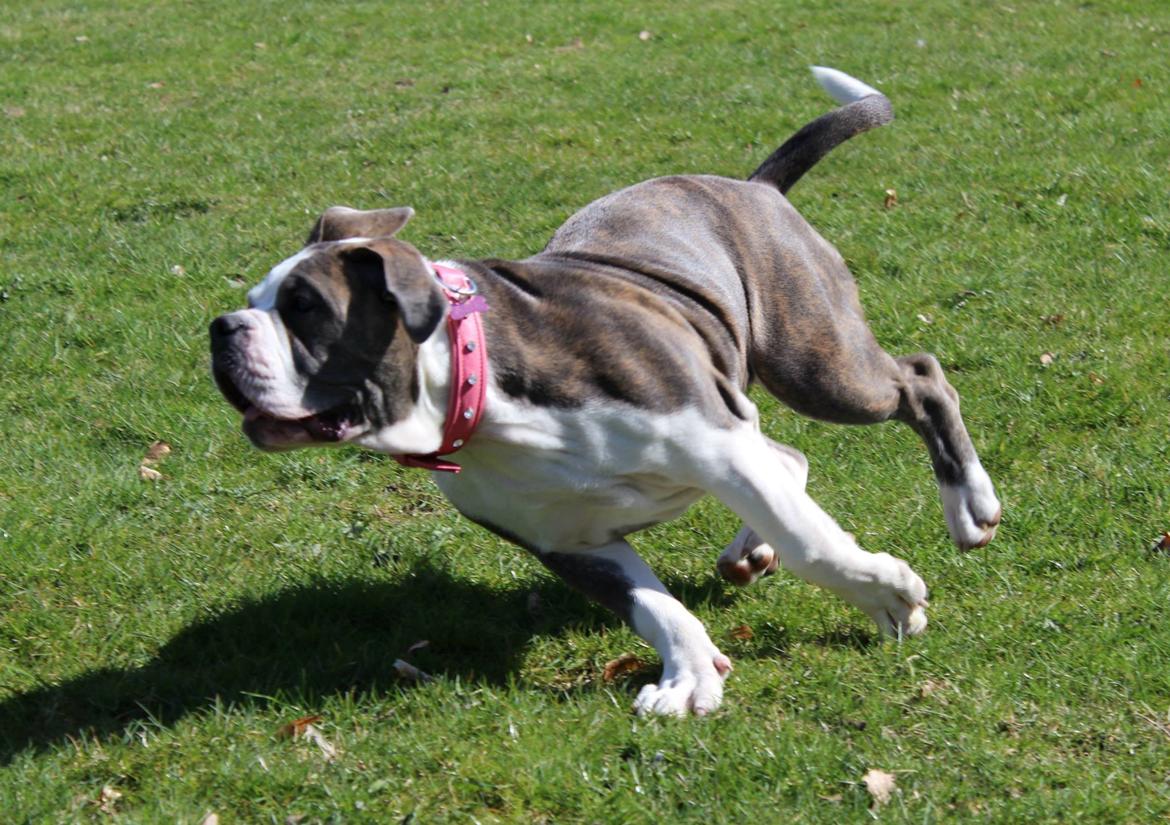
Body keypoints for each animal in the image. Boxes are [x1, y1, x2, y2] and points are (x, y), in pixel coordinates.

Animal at [208, 67, 996, 716]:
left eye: (305, 308)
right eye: (253, 301)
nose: (222, 328)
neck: (485, 396)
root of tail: (755, 186)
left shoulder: (715, 445)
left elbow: (811, 542)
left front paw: (887, 596)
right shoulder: (572, 542)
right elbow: (652, 605)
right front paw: (688, 674)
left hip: (817, 365)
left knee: (919, 381)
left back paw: (971, 504)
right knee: (790, 456)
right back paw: (752, 549)